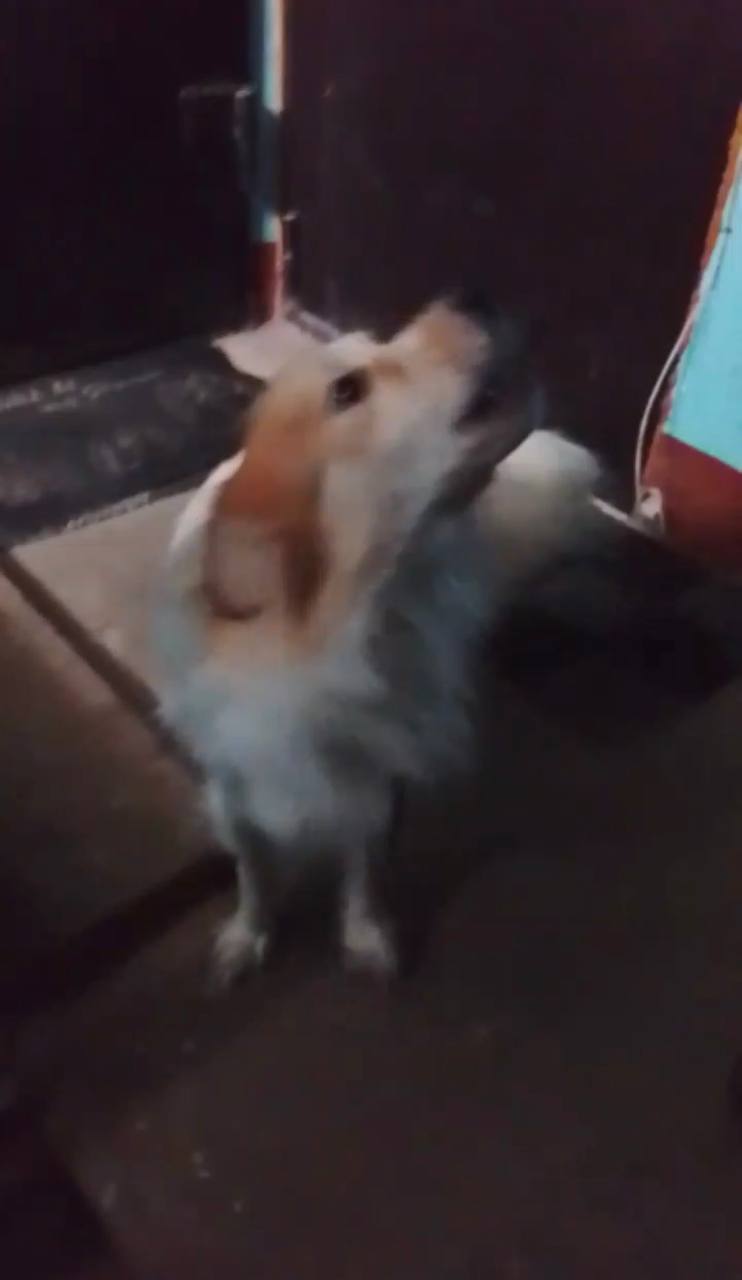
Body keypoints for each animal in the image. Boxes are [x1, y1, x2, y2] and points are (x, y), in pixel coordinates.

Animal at [154, 295, 599, 980]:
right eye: (347, 390)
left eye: (379, 343)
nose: (474, 297)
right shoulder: (235, 786)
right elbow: (254, 872)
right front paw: (248, 935)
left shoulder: (378, 774)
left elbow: (364, 867)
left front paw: (364, 935)